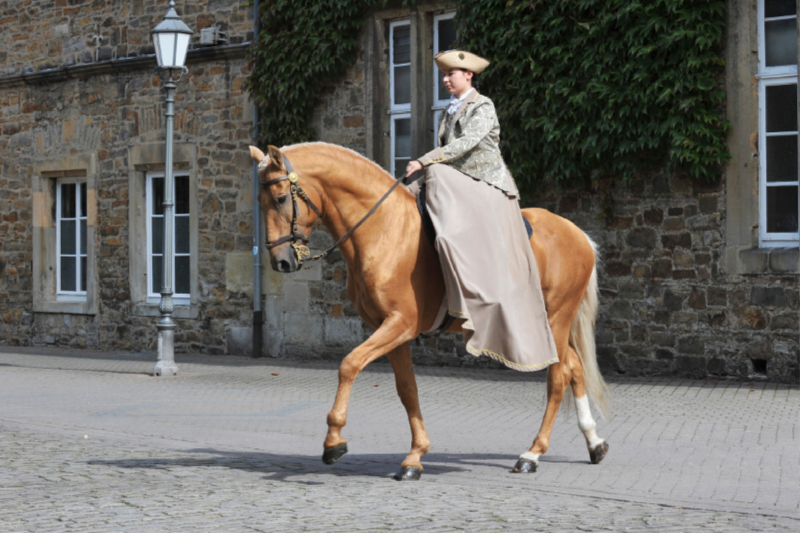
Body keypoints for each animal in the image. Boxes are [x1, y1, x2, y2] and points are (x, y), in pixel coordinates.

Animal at [247, 143, 608, 480]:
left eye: (280, 198)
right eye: (259, 202)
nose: (281, 262)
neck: (384, 230)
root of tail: (579, 234)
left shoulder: (399, 324)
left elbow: (349, 365)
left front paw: (334, 441)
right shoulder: (389, 328)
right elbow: (407, 389)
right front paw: (415, 456)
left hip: (555, 321)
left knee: (558, 377)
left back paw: (533, 453)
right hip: (552, 326)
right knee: (574, 367)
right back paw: (593, 442)